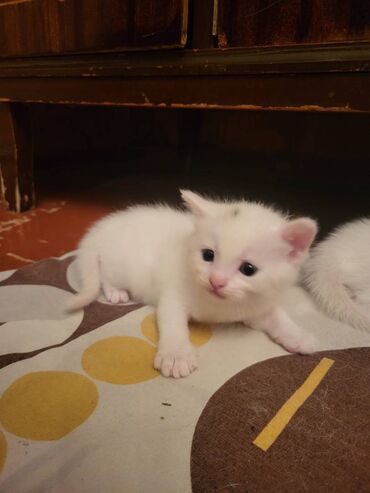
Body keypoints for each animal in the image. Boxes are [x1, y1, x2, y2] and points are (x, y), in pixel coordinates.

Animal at [69, 188, 318, 376]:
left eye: (248, 269)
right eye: (208, 255)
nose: (216, 281)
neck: (222, 307)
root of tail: (101, 228)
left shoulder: (258, 304)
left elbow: (277, 318)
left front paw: (299, 336)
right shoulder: (173, 297)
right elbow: (173, 324)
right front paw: (176, 355)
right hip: (120, 264)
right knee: (105, 274)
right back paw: (116, 291)